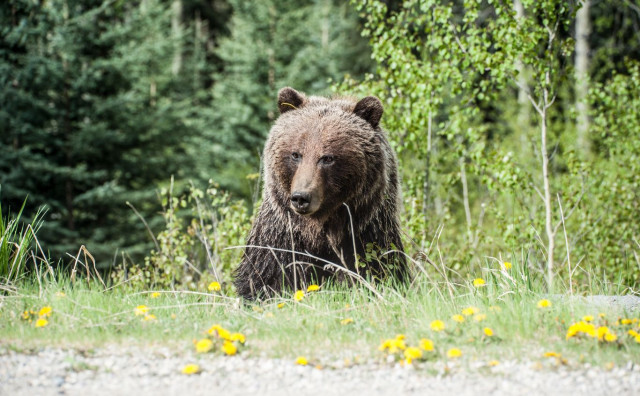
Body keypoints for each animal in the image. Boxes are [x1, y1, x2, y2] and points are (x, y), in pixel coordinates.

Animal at [234, 87, 404, 300]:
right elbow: (264, 278)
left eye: (327, 158)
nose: (301, 197)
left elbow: (378, 270)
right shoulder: (281, 237)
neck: (320, 230)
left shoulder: (367, 234)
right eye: (296, 154)